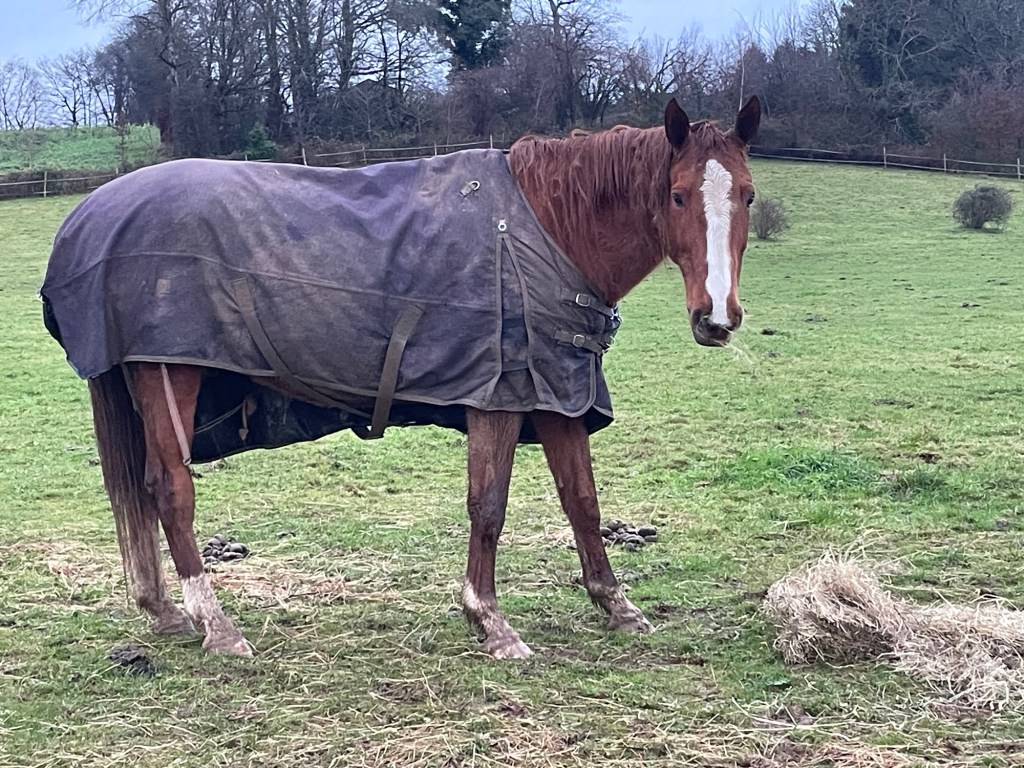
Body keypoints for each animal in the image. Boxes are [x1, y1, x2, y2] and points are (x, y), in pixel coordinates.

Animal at [41, 97, 760, 660]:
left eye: (747, 194)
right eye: (676, 195)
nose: (716, 316)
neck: (544, 230)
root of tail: (89, 216)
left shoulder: (556, 394)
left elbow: (582, 502)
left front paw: (616, 606)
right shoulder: (497, 398)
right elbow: (488, 506)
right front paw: (489, 620)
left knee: (145, 491)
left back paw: (165, 610)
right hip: (169, 373)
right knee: (172, 492)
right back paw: (216, 624)